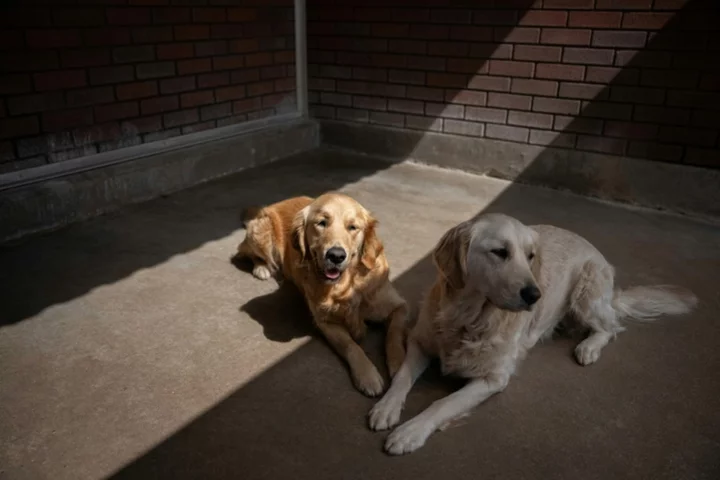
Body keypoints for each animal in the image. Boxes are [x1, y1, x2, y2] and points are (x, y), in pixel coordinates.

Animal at [235, 193, 404, 396]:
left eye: (353, 227)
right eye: (321, 223)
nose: (336, 255)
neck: (346, 286)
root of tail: (270, 205)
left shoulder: (398, 305)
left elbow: (394, 334)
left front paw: (399, 365)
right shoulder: (326, 323)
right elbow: (351, 346)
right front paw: (367, 374)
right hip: (261, 233)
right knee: (246, 253)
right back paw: (262, 268)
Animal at [368, 213, 696, 454]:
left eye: (530, 256)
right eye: (499, 252)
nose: (534, 295)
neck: (468, 318)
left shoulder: (493, 378)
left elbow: (442, 403)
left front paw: (410, 431)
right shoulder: (420, 341)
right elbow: (402, 377)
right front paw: (386, 407)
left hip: (587, 292)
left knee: (612, 326)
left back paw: (588, 347)